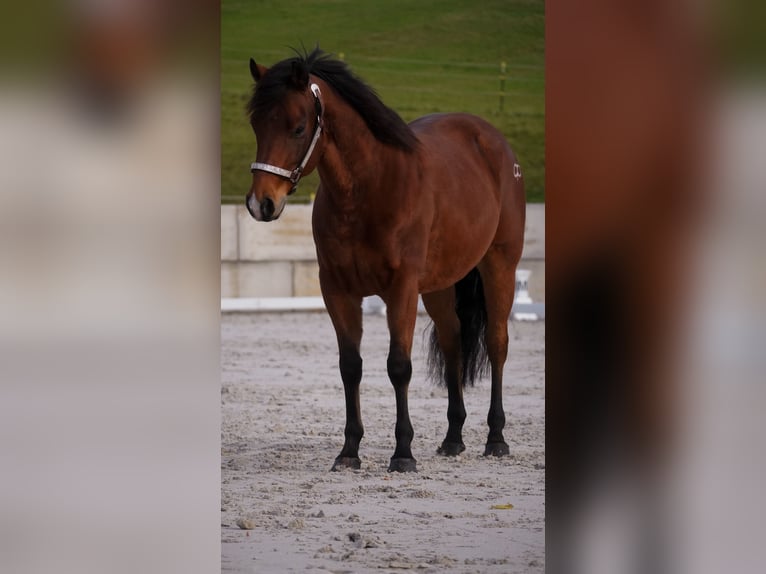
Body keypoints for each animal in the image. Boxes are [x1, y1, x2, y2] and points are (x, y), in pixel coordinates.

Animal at [244, 48, 525, 473]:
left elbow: (398, 366)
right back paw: (453, 438)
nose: (261, 203)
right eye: (257, 125)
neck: (368, 189)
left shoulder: (401, 289)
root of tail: (495, 143)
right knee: (453, 341)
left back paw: (496, 438)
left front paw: (403, 453)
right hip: (440, 285)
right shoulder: (337, 290)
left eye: (298, 128)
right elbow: (350, 366)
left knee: (496, 342)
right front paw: (349, 451)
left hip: (500, 266)